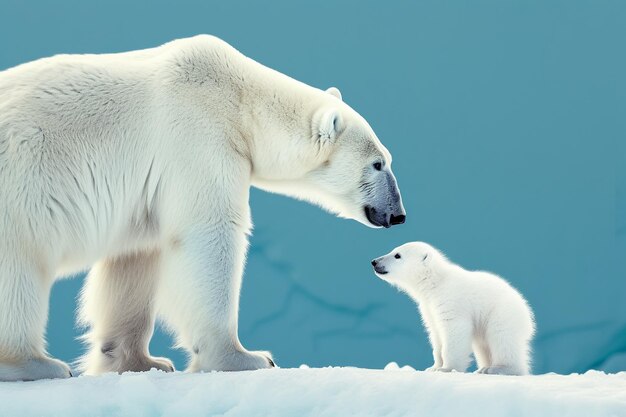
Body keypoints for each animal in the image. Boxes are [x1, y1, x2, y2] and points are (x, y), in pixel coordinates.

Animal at [0, 36, 404, 380]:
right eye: (378, 164)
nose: (398, 214)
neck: (241, 101)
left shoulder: (146, 193)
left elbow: (137, 257)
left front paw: (140, 361)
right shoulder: (199, 138)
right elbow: (210, 234)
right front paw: (247, 357)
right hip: (19, 189)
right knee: (19, 269)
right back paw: (36, 364)